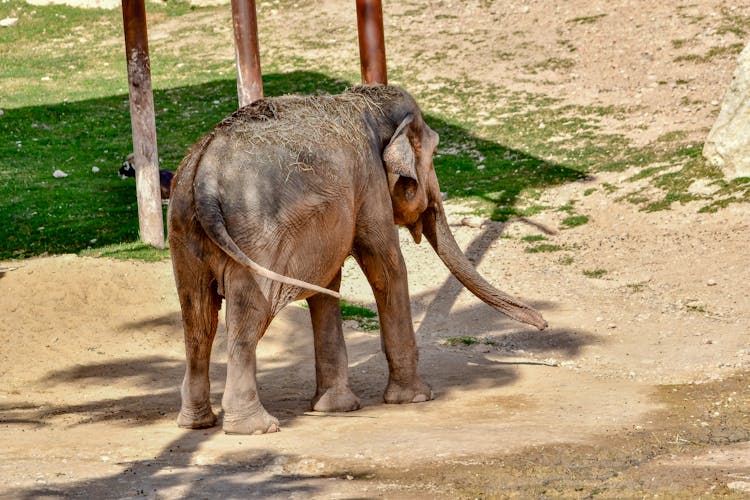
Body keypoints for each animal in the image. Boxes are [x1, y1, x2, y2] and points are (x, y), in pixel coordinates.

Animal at [169, 84, 548, 436]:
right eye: (434, 153)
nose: (544, 324)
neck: (365, 101)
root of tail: (203, 174)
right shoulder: (371, 185)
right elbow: (387, 267)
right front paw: (416, 398)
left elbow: (326, 286)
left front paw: (335, 408)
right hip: (254, 238)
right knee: (247, 318)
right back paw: (256, 427)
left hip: (184, 233)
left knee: (198, 319)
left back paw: (196, 423)